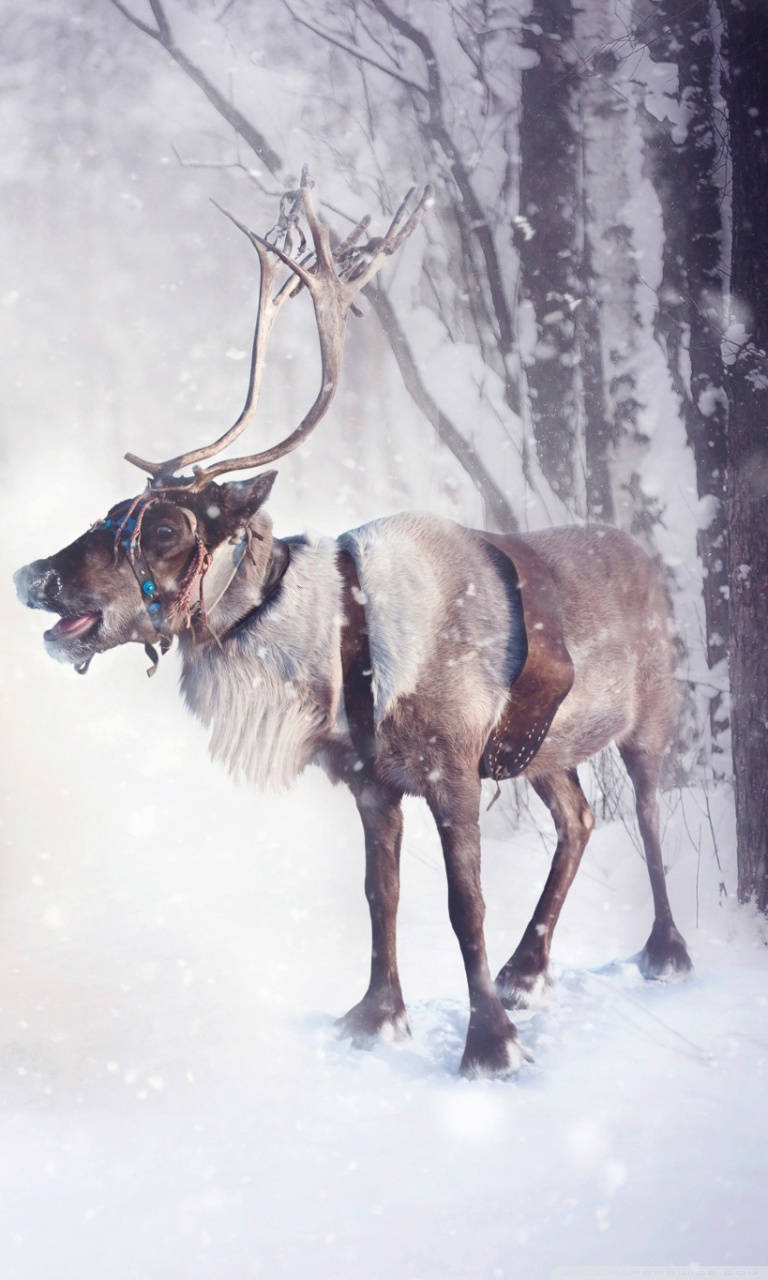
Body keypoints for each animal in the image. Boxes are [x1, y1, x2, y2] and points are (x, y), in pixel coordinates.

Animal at [14, 171, 692, 1078]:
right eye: (116, 509)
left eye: (164, 528)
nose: (31, 575)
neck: (341, 650)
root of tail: (648, 555)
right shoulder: (372, 781)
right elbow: (382, 893)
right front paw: (375, 1018)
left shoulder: (452, 768)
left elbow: (463, 903)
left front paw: (489, 1046)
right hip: (545, 748)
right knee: (579, 818)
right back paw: (527, 971)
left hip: (651, 715)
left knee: (648, 814)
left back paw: (663, 952)